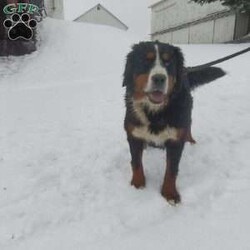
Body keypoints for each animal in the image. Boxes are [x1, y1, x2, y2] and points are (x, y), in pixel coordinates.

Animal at [122, 41, 226, 205]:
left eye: (168, 62)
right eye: (146, 61)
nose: (159, 78)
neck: (155, 112)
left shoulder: (175, 141)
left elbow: (171, 170)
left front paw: (169, 194)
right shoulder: (134, 135)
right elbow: (136, 163)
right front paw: (137, 185)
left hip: (187, 113)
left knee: (188, 127)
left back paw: (191, 141)